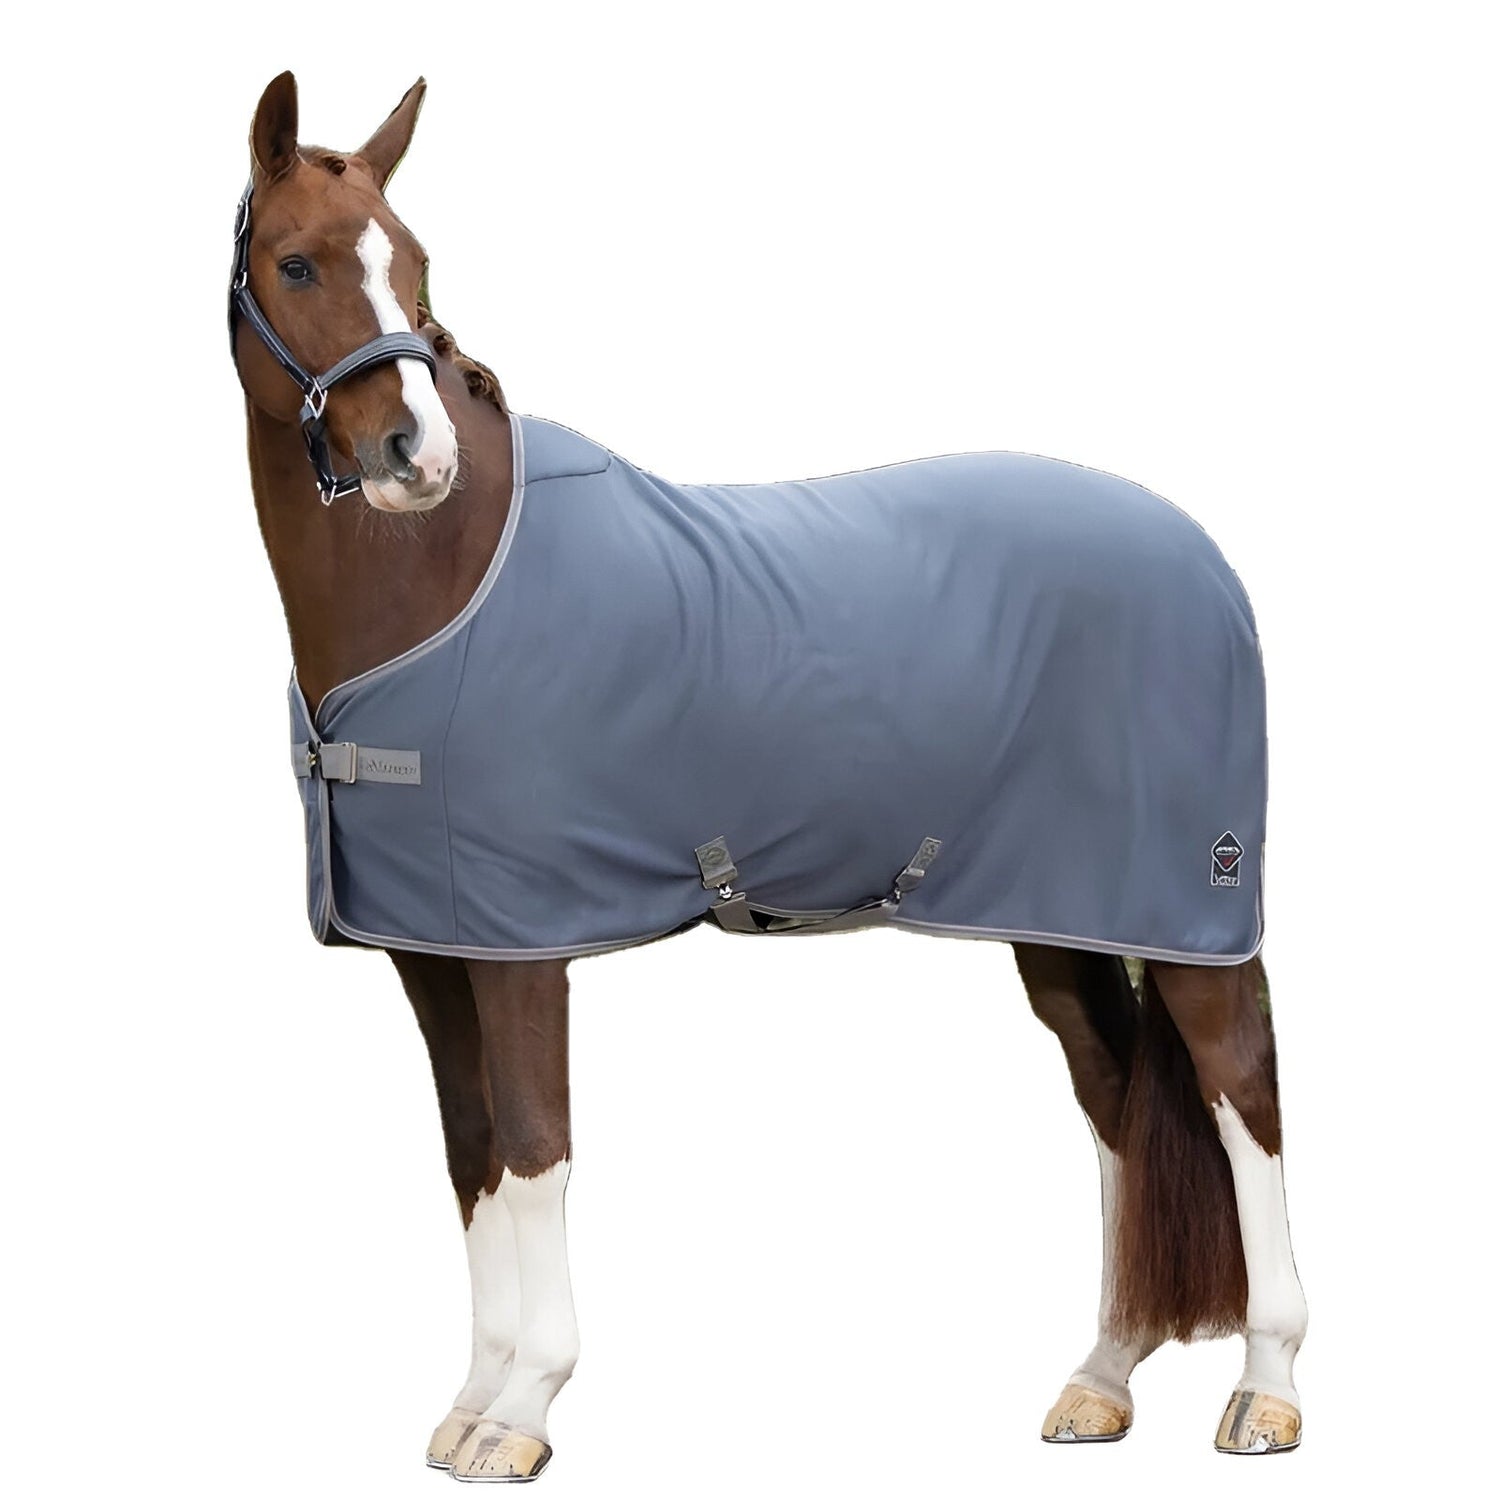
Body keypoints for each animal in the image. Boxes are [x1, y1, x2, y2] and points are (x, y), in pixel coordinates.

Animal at [231, 70, 1307, 1479]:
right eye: (296, 263)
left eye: (413, 266)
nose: (419, 455)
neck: (448, 579)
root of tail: (1206, 561)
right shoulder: (436, 952)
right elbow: (473, 1157)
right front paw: (470, 1404)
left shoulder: (524, 950)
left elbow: (534, 1147)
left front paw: (522, 1415)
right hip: (1060, 928)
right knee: (1122, 1104)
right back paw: (1101, 1379)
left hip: (1191, 912)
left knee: (1244, 1095)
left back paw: (1269, 1390)